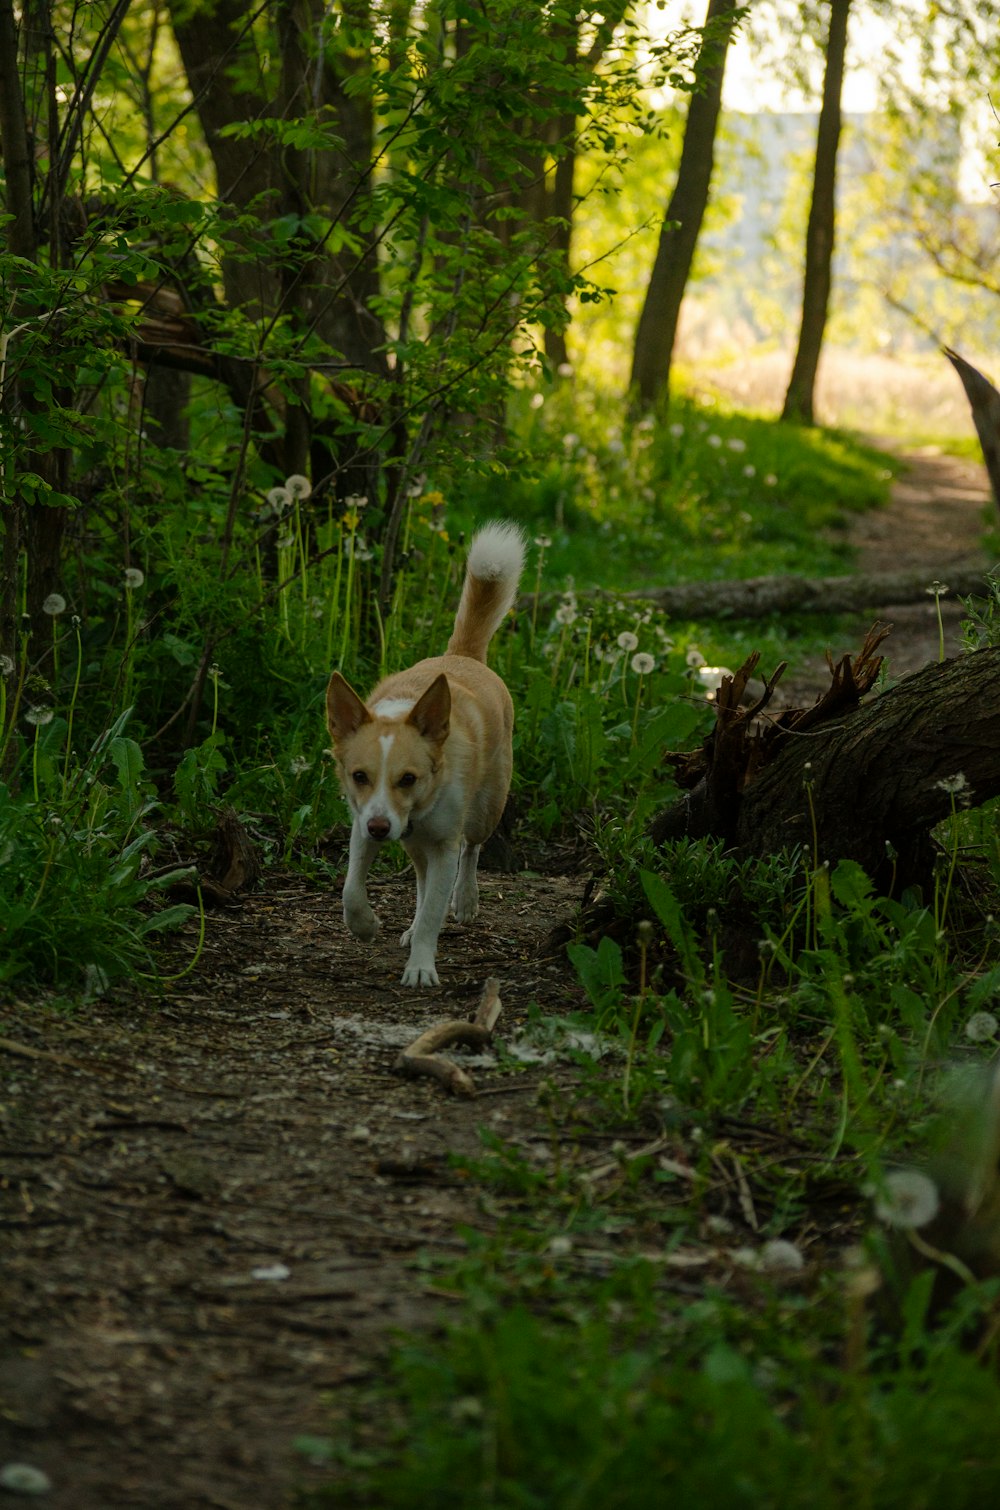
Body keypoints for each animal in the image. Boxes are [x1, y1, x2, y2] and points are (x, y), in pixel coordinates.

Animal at [329, 522, 531, 990]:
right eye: (359, 775)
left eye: (409, 778)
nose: (382, 828)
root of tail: (463, 656)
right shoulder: (362, 822)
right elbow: (351, 888)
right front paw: (365, 925)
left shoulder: (442, 844)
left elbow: (436, 906)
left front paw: (421, 965)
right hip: (416, 843)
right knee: (422, 881)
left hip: (487, 808)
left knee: (472, 849)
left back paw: (466, 899)